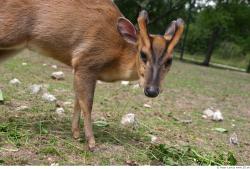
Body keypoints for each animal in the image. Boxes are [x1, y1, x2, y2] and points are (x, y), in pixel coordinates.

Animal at [0, 0, 184, 151]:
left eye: (170, 60)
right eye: (143, 54)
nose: (152, 90)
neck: (117, 55)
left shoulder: (79, 69)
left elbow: (78, 101)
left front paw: (75, 134)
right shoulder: (87, 61)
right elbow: (87, 104)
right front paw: (91, 142)